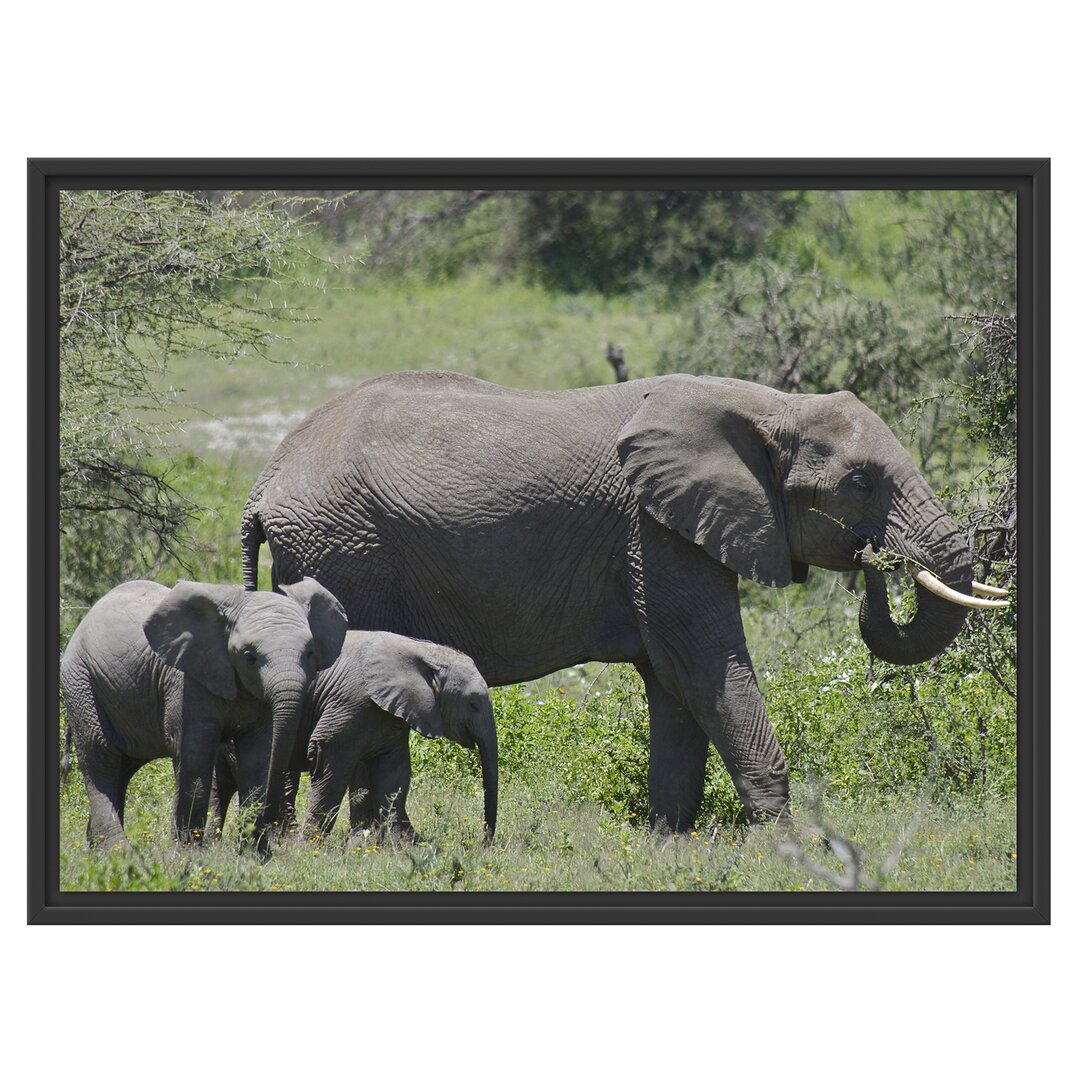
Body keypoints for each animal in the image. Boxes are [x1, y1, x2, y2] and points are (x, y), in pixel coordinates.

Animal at [61, 578, 345, 855]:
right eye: (249, 657)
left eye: (310, 653)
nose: (273, 834)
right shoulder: (186, 681)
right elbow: (195, 753)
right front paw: (189, 854)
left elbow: (258, 754)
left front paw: (254, 856)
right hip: (82, 684)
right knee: (101, 760)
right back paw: (118, 852)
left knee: (124, 766)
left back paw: (97, 851)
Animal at [211, 630, 501, 846]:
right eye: (474, 705)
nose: (484, 842)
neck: (421, 650)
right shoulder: (351, 703)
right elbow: (331, 766)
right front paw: (309, 847)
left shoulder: (390, 715)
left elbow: (394, 774)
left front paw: (408, 845)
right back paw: (279, 840)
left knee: (224, 781)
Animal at [240, 373, 1006, 833]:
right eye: (860, 482)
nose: (878, 561)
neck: (767, 404)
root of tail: (264, 480)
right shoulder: (656, 529)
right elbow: (706, 663)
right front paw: (788, 848)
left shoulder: (666, 531)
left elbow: (675, 683)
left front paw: (670, 842)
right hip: (345, 550)